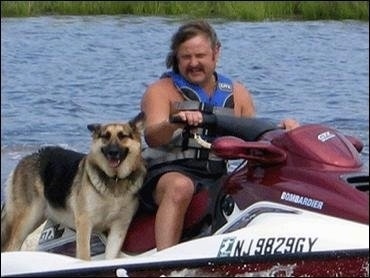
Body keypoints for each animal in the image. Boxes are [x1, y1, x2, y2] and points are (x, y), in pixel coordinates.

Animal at [1, 112, 146, 260]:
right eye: (105, 136)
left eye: (123, 136)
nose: (113, 152)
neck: (115, 181)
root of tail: (30, 156)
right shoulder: (85, 223)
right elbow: (84, 256)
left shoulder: (118, 229)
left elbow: (110, 257)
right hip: (26, 220)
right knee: (10, 248)